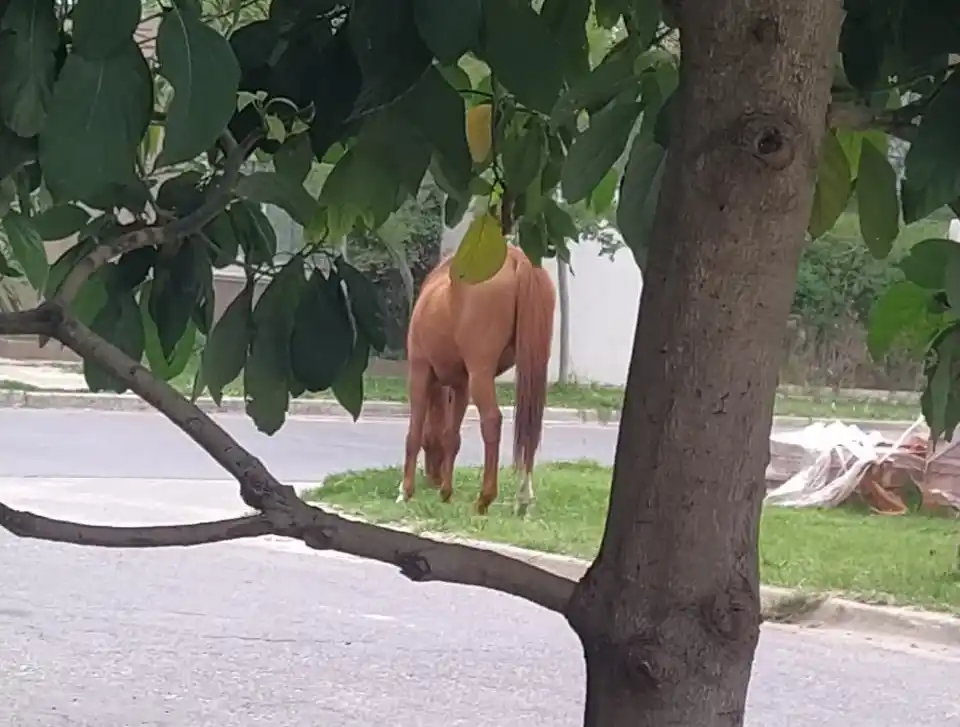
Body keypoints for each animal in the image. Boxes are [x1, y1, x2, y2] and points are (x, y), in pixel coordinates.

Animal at [397, 244, 556, 516]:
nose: (433, 478)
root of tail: (518, 258)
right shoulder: (461, 384)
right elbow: (451, 436)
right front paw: (446, 492)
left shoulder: (420, 370)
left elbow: (414, 433)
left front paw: (405, 491)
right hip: (531, 366)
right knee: (531, 427)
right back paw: (523, 498)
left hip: (480, 372)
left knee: (492, 420)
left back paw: (485, 498)